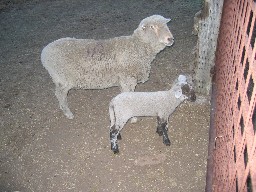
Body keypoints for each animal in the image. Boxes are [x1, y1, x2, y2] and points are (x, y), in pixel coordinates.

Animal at [41, 14, 175, 118]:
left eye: (166, 25)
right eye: (152, 27)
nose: (170, 39)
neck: (137, 47)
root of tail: (44, 52)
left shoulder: (124, 81)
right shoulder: (127, 79)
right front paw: (132, 118)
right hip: (62, 79)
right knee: (60, 95)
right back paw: (68, 113)